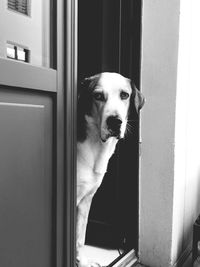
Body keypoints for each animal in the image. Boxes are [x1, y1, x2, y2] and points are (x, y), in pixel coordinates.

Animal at [76, 73, 144, 267]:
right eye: (98, 96)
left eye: (124, 95)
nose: (115, 121)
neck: (96, 147)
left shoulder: (86, 199)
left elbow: (80, 238)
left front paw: (81, 261)